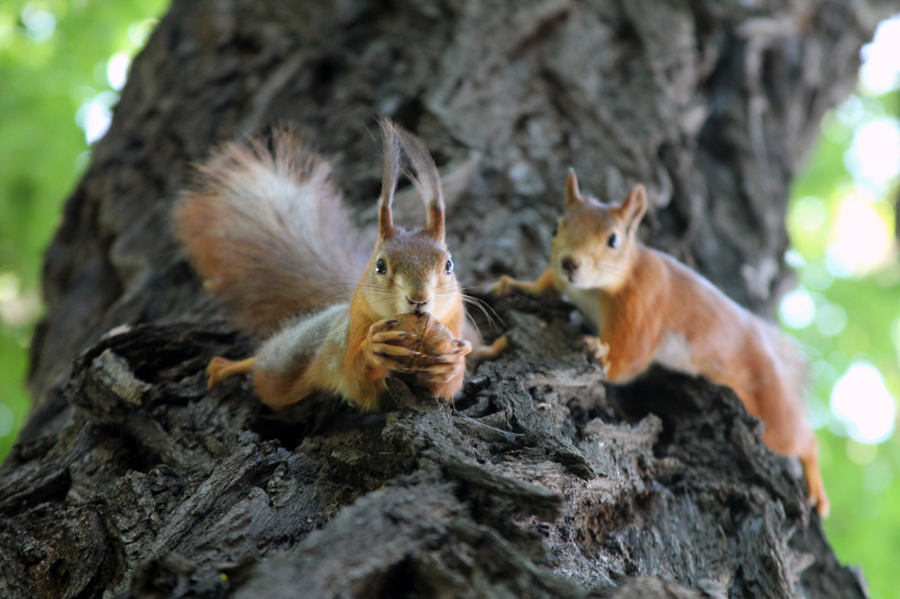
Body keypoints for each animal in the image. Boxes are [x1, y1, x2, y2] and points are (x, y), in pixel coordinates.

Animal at [176, 120, 492, 412]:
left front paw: (451, 361)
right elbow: (357, 377)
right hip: (288, 363)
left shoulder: (454, 325)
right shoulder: (350, 336)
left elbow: (445, 389)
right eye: (380, 266)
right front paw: (374, 348)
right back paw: (225, 366)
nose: (419, 299)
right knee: (267, 371)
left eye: (449, 265)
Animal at [492, 169, 828, 516]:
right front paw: (516, 284)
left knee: (801, 439)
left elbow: (628, 361)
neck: (593, 289)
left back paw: (816, 487)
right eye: (556, 227)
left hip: (767, 404)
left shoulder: (642, 307)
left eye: (613, 240)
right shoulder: (561, 280)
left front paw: (599, 351)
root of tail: (761, 340)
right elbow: (544, 282)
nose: (570, 263)